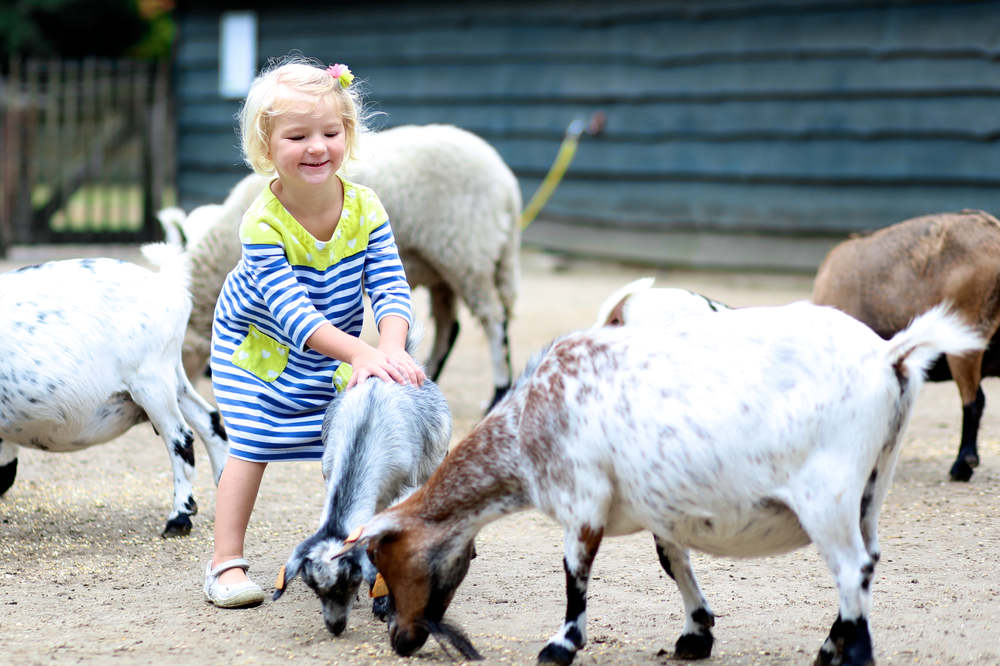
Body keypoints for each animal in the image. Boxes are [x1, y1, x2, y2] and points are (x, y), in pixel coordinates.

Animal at [0, 244, 229, 536]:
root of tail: (166, 283)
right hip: (171, 375)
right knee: (208, 420)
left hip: (150, 381)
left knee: (181, 438)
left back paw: (179, 518)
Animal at [162, 122, 524, 408]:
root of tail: (507, 185)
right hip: (446, 263)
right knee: (453, 326)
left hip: (468, 252)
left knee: (493, 319)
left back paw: (498, 390)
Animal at [270, 344, 450, 636]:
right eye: (314, 588)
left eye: (349, 581)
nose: (335, 627)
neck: (364, 429)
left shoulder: (407, 489)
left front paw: (385, 603)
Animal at [330, 302, 984, 664]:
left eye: (385, 560)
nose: (401, 639)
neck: (528, 420)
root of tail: (891, 356)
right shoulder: (661, 506)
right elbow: (673, 562)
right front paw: (696, 635)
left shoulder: (583, 498)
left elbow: (575, 576)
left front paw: (559, 647)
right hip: (874, 479)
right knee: (868, 563)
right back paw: (831, 647)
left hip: (828, 490)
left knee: (850, 569)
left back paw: (849, 656)